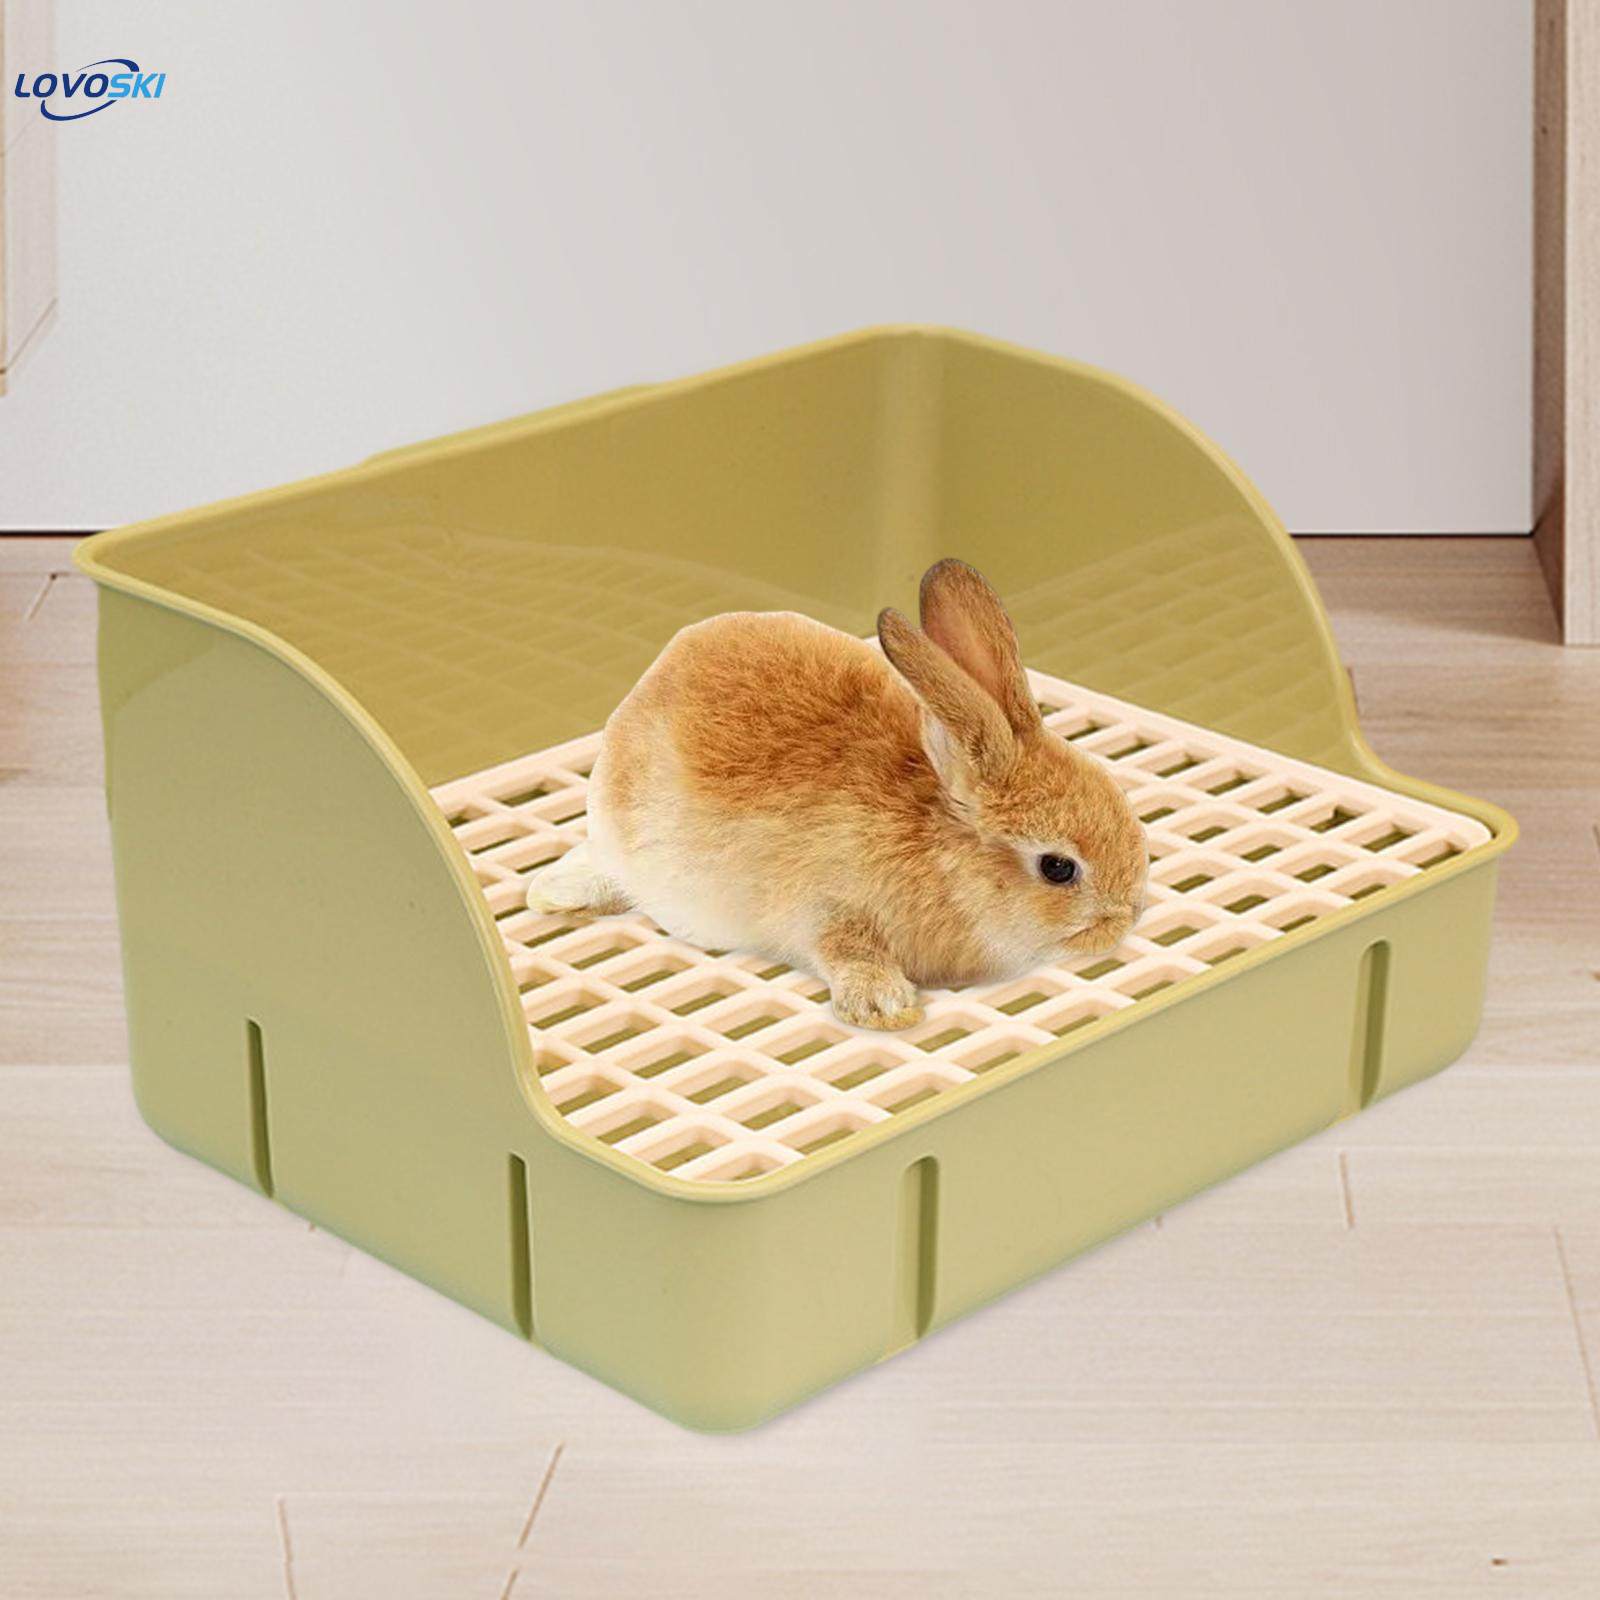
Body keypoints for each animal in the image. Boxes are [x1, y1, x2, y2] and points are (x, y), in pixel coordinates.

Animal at [526, 559, 1148, 1031]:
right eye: (1058, 868)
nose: (1125, 917)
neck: (940, 849)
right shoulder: (825, 908)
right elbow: (846, 948)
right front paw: (885, 1007)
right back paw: (555, 893)